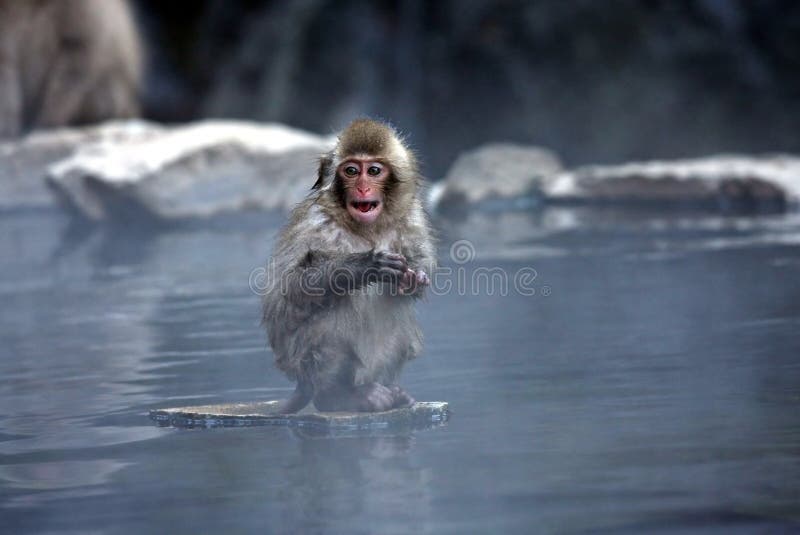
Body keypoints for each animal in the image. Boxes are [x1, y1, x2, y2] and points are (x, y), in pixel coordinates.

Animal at [261, 119, 436, 413]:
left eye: (374, 170)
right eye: (351, 171)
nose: (363, 188)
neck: (368, 228)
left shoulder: (412, 217)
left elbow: (416, 276)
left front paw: (413, 280)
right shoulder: (317, 221)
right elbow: (292, 287)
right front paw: (367, 266)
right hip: (299, 360)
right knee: (334, 313)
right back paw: (338, 395)